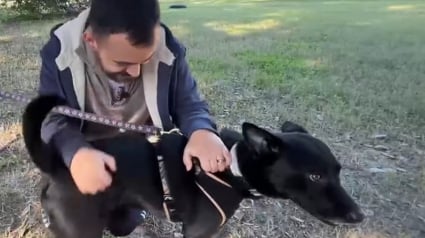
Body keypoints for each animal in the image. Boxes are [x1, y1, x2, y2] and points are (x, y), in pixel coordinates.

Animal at [21, 95, 362, 238]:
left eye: (338, 171)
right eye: (315, 176)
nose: (359, 217)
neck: (231, 168)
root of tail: (57, 166)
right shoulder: (197, 232)